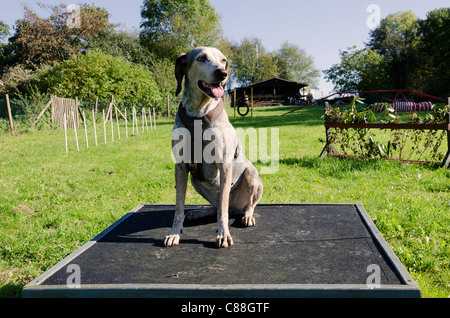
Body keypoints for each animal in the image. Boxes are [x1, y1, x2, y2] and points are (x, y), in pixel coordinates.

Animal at [164, 46, 264, 248]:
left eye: (223, 60)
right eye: (202, 58)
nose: (222, 74)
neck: (198, 115)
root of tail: (236, 208)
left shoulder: (224, 165)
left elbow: (222, 212)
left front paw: (223, 234)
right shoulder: (181, 167)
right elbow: (178, 208)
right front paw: (174, 233)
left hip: (251, 176)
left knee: (242, 206)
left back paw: (247, 216)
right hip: (195, 180)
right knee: (216, 206)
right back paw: (201, 212)